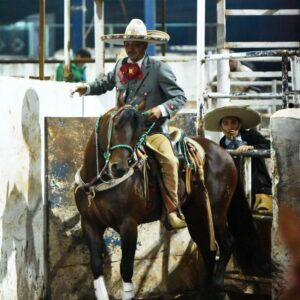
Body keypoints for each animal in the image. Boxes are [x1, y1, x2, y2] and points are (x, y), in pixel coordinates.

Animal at [74, 104, 268, 298]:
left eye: (137, 134)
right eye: (115, 126)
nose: (119, 168)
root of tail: (225, 154)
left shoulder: (128, 225)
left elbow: (126, 267)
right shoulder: (89, 223)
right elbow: (96, 265)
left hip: (216, 212)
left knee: (227, 244)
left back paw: (219, 287)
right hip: (196, 215)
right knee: (207, 250)